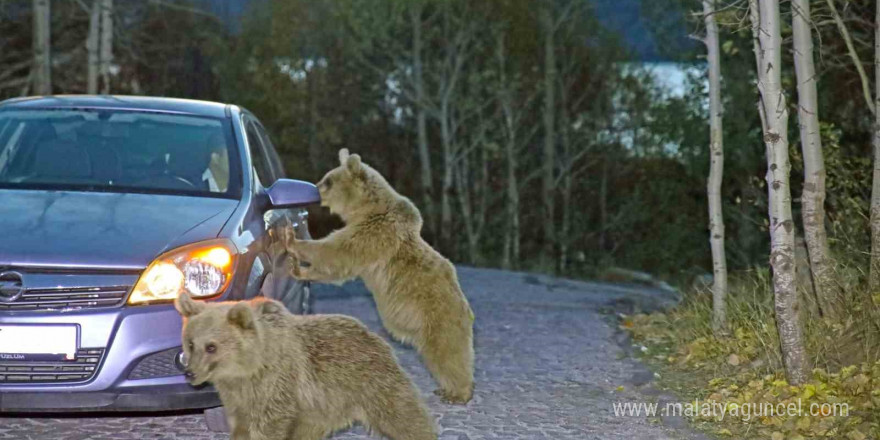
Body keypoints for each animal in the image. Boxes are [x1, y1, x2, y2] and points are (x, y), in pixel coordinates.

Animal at [175, 292, 436, 440]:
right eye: (191, 343)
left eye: (211, 346)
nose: (190, 373)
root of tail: (373, 333)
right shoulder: (237, 397)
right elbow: (240, 426)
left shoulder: (276, 385)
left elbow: (268, 426)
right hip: (321, 408)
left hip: (372, 381)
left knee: (404, 416)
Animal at [284, 149, 478, 406]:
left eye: (328, 180)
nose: (314, 190)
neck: (365, 209)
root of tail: (466, 310)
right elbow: (337, 266)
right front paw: (300, 268)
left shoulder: (373, 234)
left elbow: (336, 252)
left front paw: (292, 241)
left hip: (439, 317)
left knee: (448, 353)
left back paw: (458, 393)